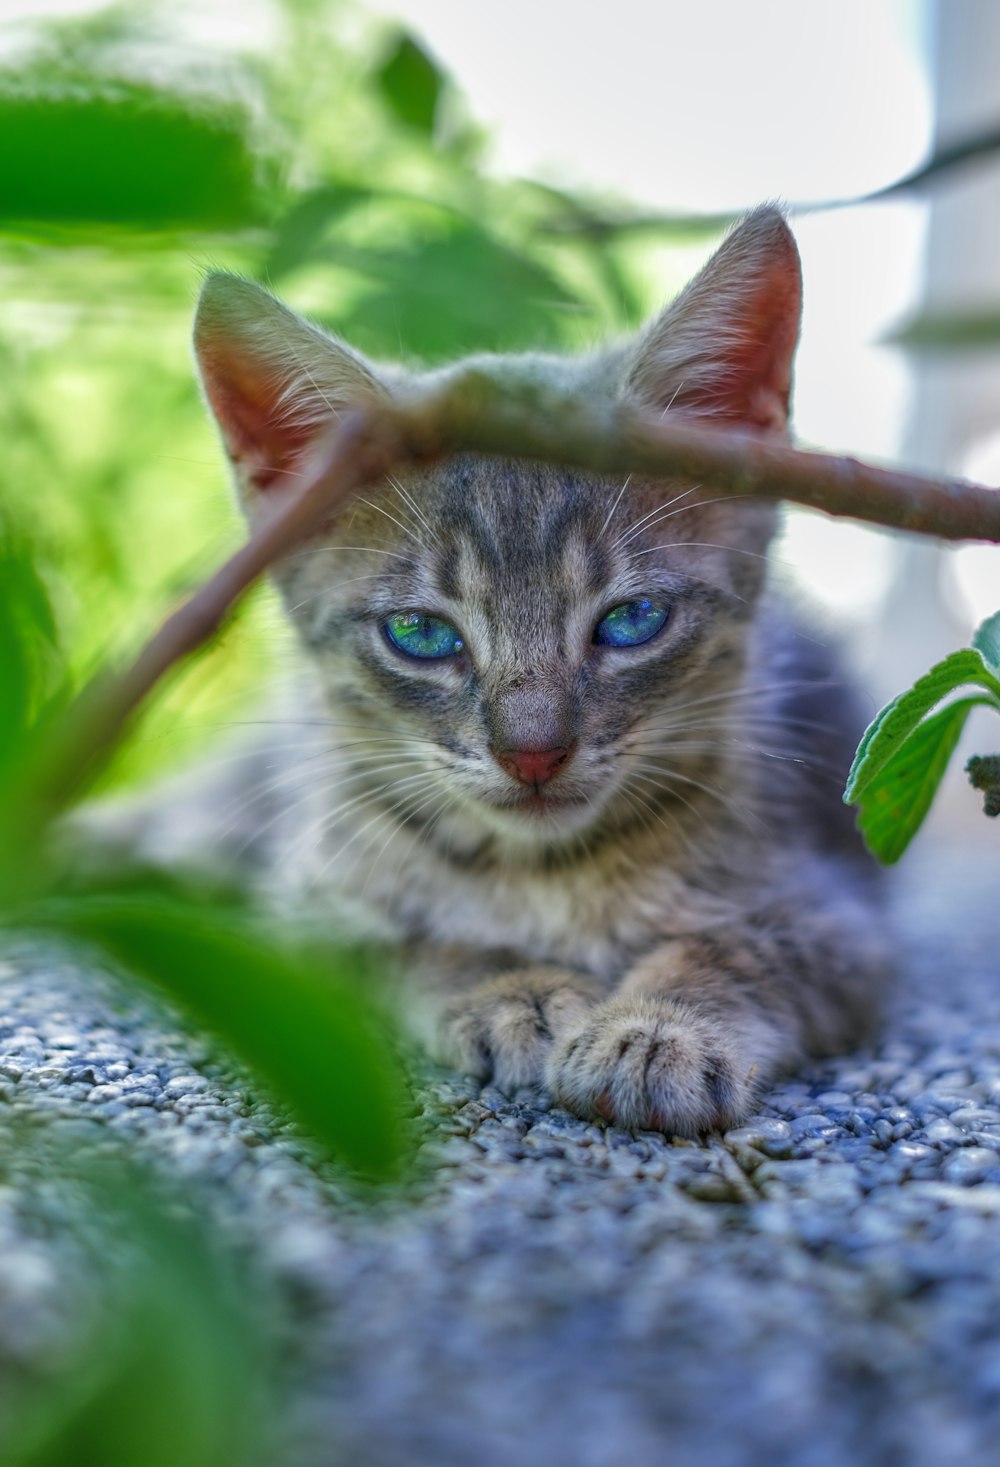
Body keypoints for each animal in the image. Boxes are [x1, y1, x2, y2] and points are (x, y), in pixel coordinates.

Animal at [190, 209, 885, 1132]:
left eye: (631, 620)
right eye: (420, 632)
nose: (532, 753)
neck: (543, 871)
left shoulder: (838, 911)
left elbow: (739, 944)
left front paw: (655, 1030)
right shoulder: (306, 918)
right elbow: (409, 942)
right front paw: (514, 988)